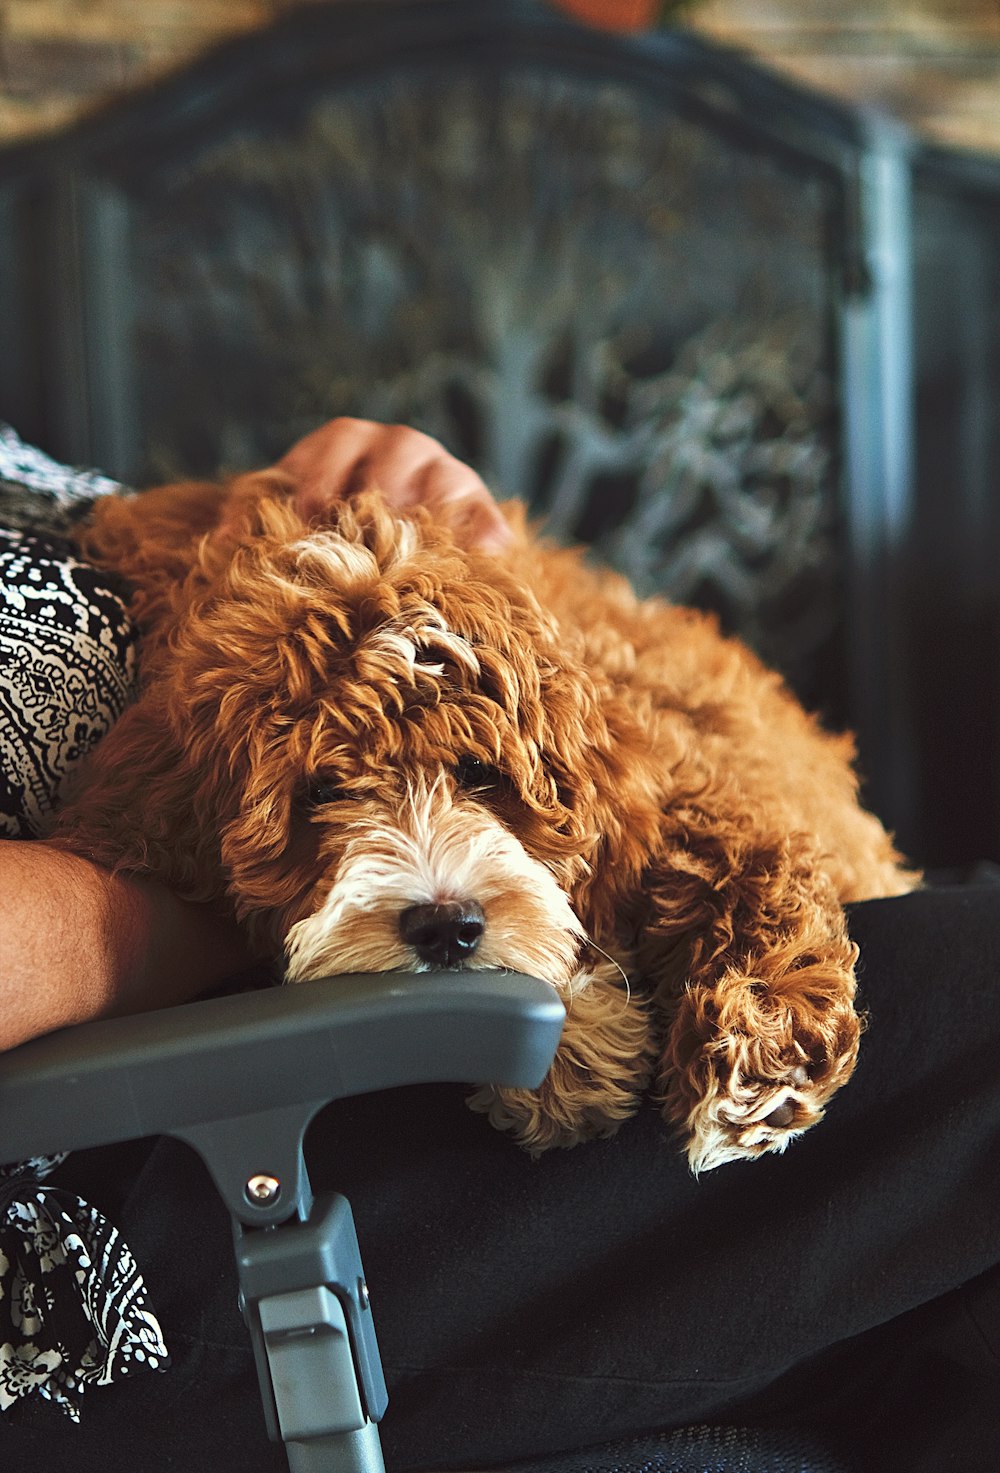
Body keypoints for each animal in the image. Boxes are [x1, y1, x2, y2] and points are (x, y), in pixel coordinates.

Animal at [50, 471, 918, 1172]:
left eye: (479, 774)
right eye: (323, 788)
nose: (445, 926)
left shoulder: (680, 776)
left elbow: (751, 852)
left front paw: (759, 1059)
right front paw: (571, 1053)